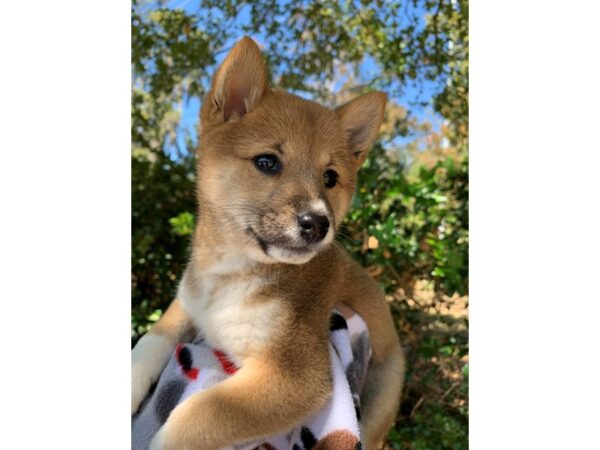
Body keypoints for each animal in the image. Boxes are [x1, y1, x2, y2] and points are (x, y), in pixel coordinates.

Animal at [131, 36, 404, 450]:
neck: (228, 274)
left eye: (330, 177)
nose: (317, 223)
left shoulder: (295, 374)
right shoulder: (184, 307)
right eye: (266, 162)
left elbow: (199, 414)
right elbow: (147, 343)